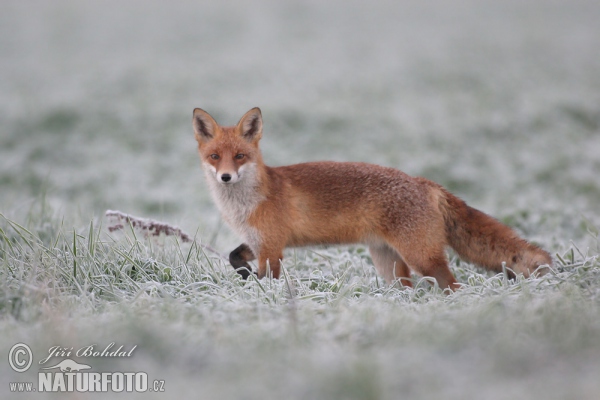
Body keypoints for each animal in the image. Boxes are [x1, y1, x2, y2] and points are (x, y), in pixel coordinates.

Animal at [193, 108, 552, 290]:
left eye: (240, 156)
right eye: (215, 157)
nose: (226, 177)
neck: (245, 204)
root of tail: (424, 182)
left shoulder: (273, 247)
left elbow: (270, 280)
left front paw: (263, 294)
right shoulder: (258, 241)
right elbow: (234, 256)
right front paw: (244, 276)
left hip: (422, 256)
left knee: (451, 283)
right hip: (387, 261)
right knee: (407, 286)